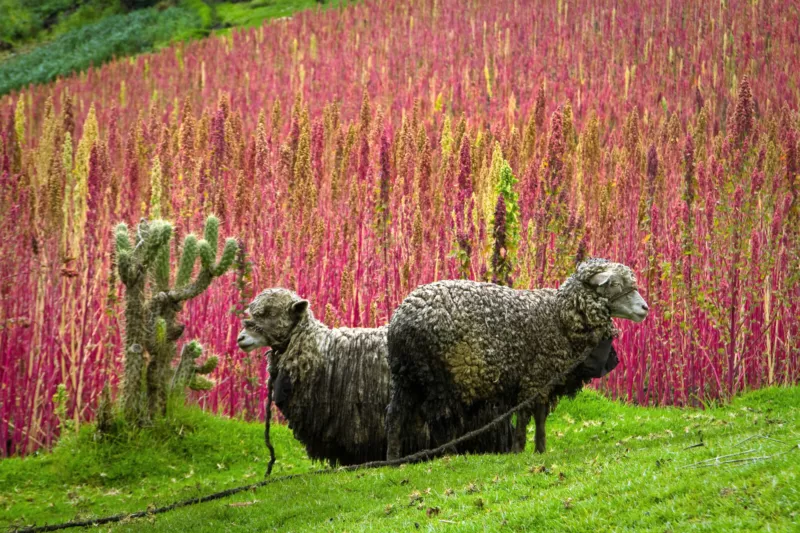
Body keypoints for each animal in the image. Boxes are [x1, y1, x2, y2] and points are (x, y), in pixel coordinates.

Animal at [384, 258, 648, 458]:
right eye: (615, 284)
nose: (645, 308)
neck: (559, 315)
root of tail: (399, 321)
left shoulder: (545, 377)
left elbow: (540, 417)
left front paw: (541, 449)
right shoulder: (534, 376)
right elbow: (523, 418)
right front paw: (518, 450)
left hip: (407, 377)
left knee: (396, 415)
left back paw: (393, 458)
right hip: (437, 377)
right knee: (437, 417)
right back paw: (448, 454)